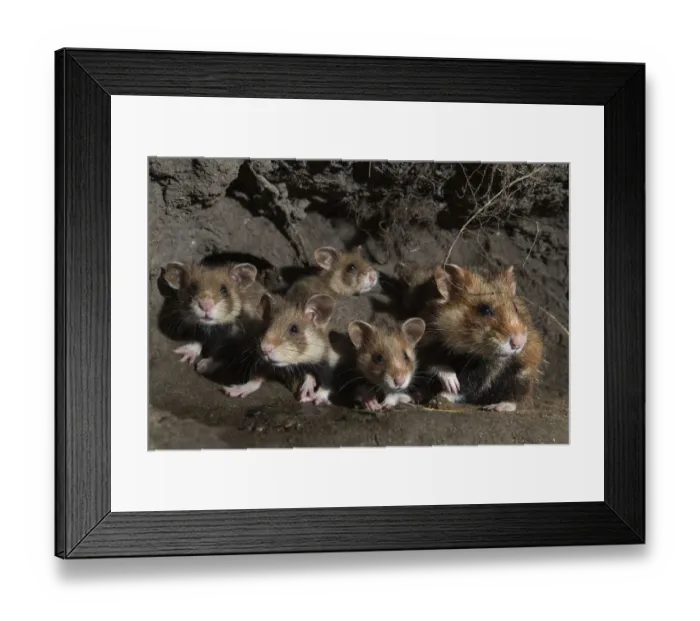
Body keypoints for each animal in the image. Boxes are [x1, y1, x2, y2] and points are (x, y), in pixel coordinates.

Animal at [416, 264, 544, 412]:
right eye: (485, 310)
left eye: (515, 308)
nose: (519, 343)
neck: (465, 346)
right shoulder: (426, 342)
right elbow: (435, 365)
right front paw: (451, 382)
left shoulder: (489, 368)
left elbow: (468, 386)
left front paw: (442, 396)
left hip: (523, 373)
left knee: (517, 395)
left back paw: (497, 407)